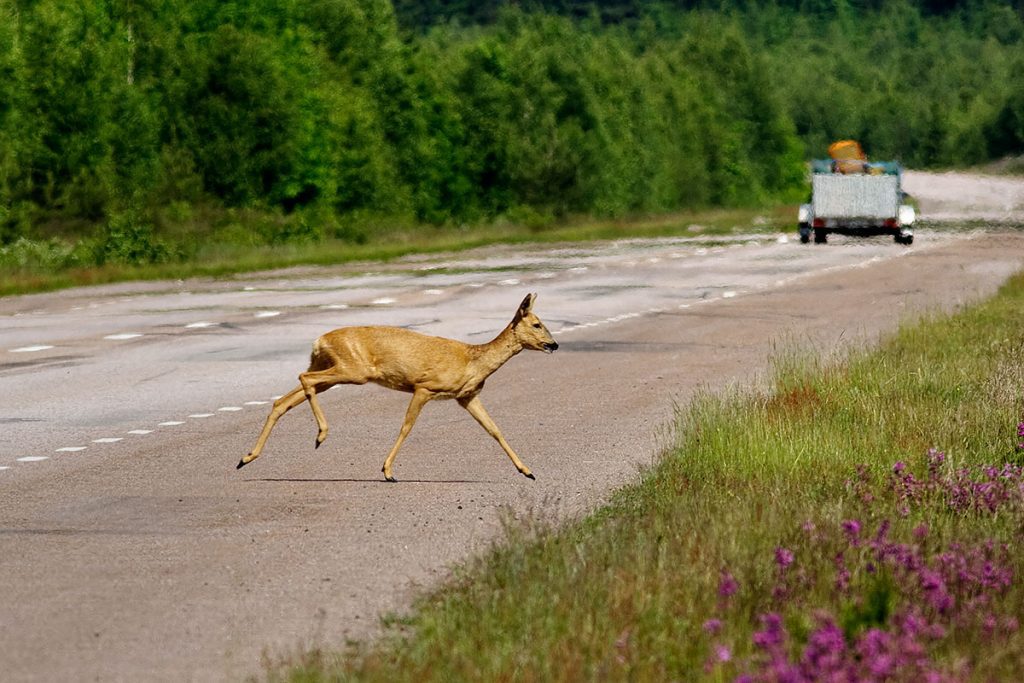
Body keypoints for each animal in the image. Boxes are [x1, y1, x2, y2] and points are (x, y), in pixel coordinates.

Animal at [237, 292, 561, 481]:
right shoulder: (425, 387)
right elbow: (406, 427)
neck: (473, 361)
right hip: (352, 369)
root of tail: (319, 340)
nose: (554, 344)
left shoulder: (466, 396)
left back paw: (246, 458)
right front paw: (388, 472)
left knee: (285, 398)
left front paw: (527, 471)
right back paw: (320, 435)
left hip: (330, 368)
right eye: (536, 324)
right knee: (303, 380)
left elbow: (495, 429)